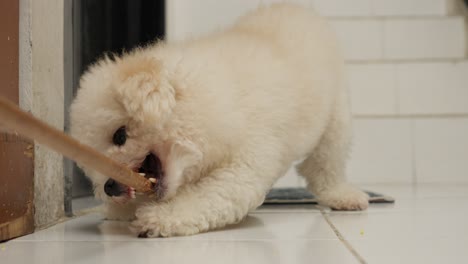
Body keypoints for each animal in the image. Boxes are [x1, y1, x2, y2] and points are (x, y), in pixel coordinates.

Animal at [69, 3, 370, 238]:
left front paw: (158, 218)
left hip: (336, 119)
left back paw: (343, 197)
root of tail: (297, 9)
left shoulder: (243, 167)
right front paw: (118, 210)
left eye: (119, 135)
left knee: (326, 166)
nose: (108, 187)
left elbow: (204, 197)